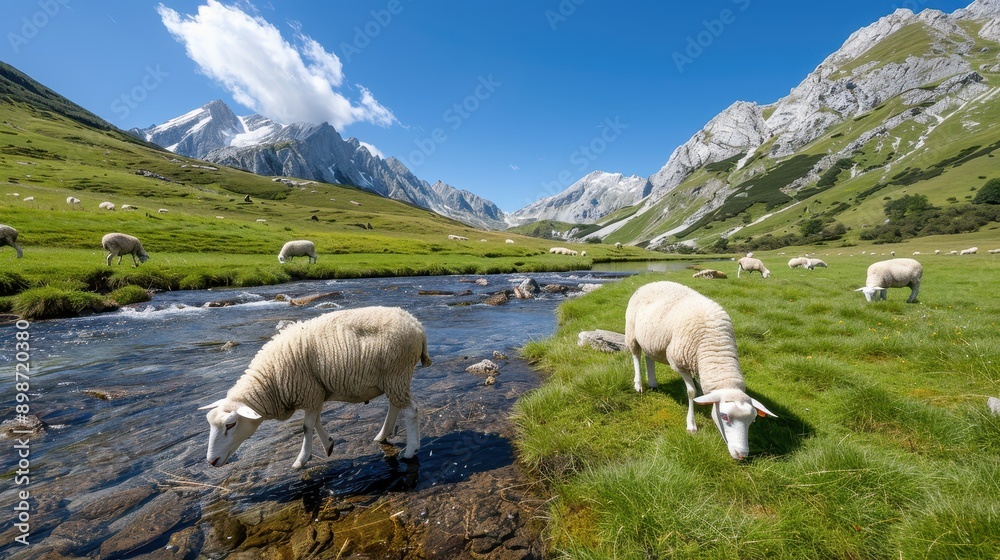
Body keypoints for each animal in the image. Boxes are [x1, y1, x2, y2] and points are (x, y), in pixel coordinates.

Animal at [198, 306, 431, 468]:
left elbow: (306, 427)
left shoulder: (309, 391)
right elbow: (315, 421)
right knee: (395, 405)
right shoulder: (315, 393)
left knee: (411, 410)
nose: (211, 462)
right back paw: (382, 435)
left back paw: (410, 451)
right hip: (391, 379)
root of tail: (417, 325)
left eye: (230, 425)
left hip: (397, 373)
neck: (270, 380)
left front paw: (301, 460)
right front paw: (328, 444)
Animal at [625, 281, 776, 459]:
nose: (742, 454)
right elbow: (692, 392)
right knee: (636, 356)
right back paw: (639, 384)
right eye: (724, 416)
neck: (716, 346)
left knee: (649, 357)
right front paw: (691, 425)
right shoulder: (678, 361)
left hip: (651, 339)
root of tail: (651, 283)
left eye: (752, 420)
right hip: (632, 332)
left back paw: (653, 382)